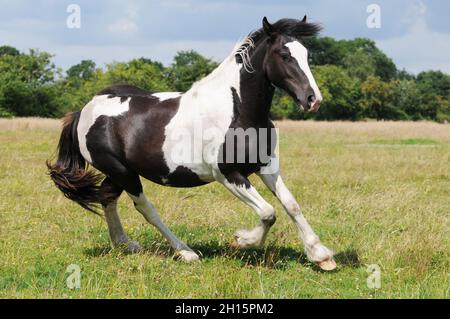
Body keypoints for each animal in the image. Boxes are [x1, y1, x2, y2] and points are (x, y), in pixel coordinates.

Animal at [48, 16, 338, 272]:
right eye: (284, 55)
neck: (238, 111)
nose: (313, 99)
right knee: (146, 208)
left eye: (306, 55)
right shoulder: (228, 175)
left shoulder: (265, 166)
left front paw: (321, 256)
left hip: (120, 172)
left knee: (107, 199)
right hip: (123, 172)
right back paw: (186, 252)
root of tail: (84, 110)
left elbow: (291, 205)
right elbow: (268, 212)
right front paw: (241, 241)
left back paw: (126, 245)